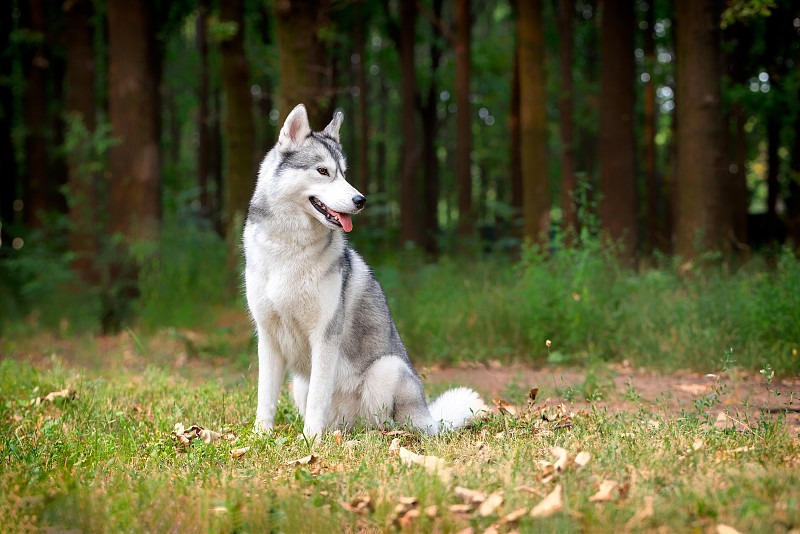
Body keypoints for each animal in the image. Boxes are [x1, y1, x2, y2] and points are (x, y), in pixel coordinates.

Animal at [241, 103, 484, 440]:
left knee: (383, 424)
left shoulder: (325, 336)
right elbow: (265, 398)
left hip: (389, 369)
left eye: (344, 173)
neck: (289, 249)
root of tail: (429, 417)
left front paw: (310, 440)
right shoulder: (268, 337)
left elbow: (319, 397)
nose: (361, 200)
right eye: (323, 171)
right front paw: (260, 437)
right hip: (299, 384)